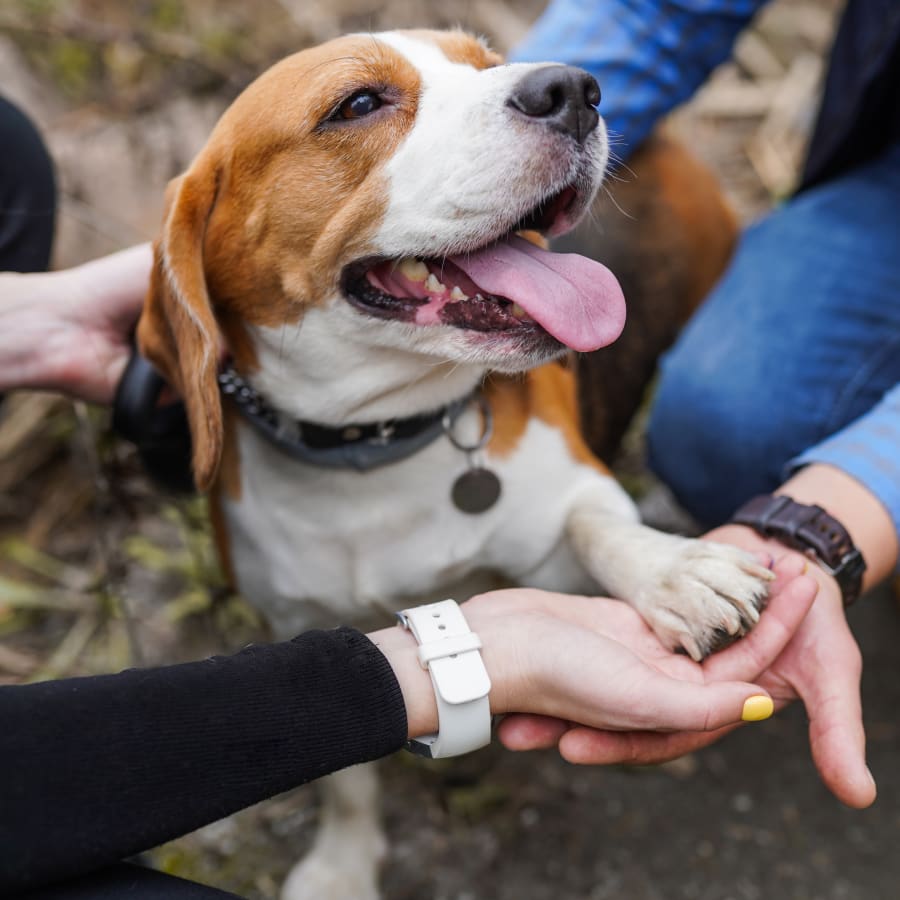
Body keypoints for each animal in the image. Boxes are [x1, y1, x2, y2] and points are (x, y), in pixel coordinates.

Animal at [137, 29, 768, 900]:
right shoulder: (301, 626)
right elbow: (345, 777)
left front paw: (676, 574)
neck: (375, 447)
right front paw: (342, 865)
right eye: (358, 104)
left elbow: (598, 525)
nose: (574, 89)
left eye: (486, 62)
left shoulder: (564, 518)